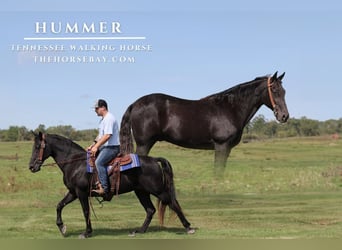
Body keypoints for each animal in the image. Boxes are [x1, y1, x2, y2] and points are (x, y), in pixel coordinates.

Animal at [28, 132, 194, 237]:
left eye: (37, 147)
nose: (31, 167)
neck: (75, 163)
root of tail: (153, 160)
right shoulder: (73, 192)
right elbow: (59, 206)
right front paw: (62, 227)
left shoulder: (81, 193)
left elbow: (86, 212)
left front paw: (87, 232)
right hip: (141, 191)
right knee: (150, 210)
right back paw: (139, 231)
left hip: (158, 190)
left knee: (173, 203)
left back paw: (188, 227)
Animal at [120, 71, 288, 171]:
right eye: (274, 90)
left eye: (284, 91)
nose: (284, 116)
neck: (230, 108)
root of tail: (135, 104)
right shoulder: (221, 146)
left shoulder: (226, 149)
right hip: (144, 143)